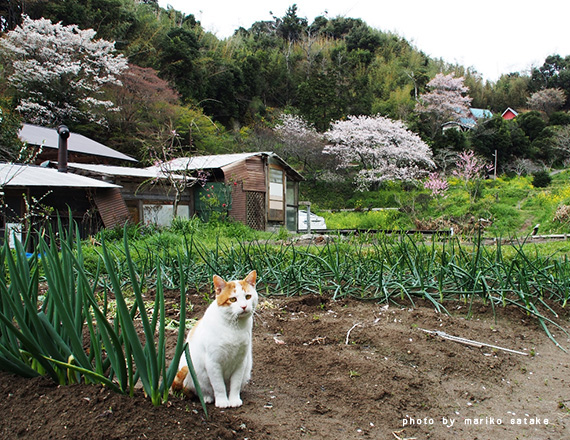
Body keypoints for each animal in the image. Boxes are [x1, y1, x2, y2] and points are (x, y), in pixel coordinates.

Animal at [170, 272, 256, 410]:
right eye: (233, 299)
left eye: (248, 296)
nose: (244, 306)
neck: (234, 327)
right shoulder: (213, 362)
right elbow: (219, 386)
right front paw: (222, 402)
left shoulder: (241, 362)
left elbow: (235, 384)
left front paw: (234, 400)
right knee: (203, 390)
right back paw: (207, 398)